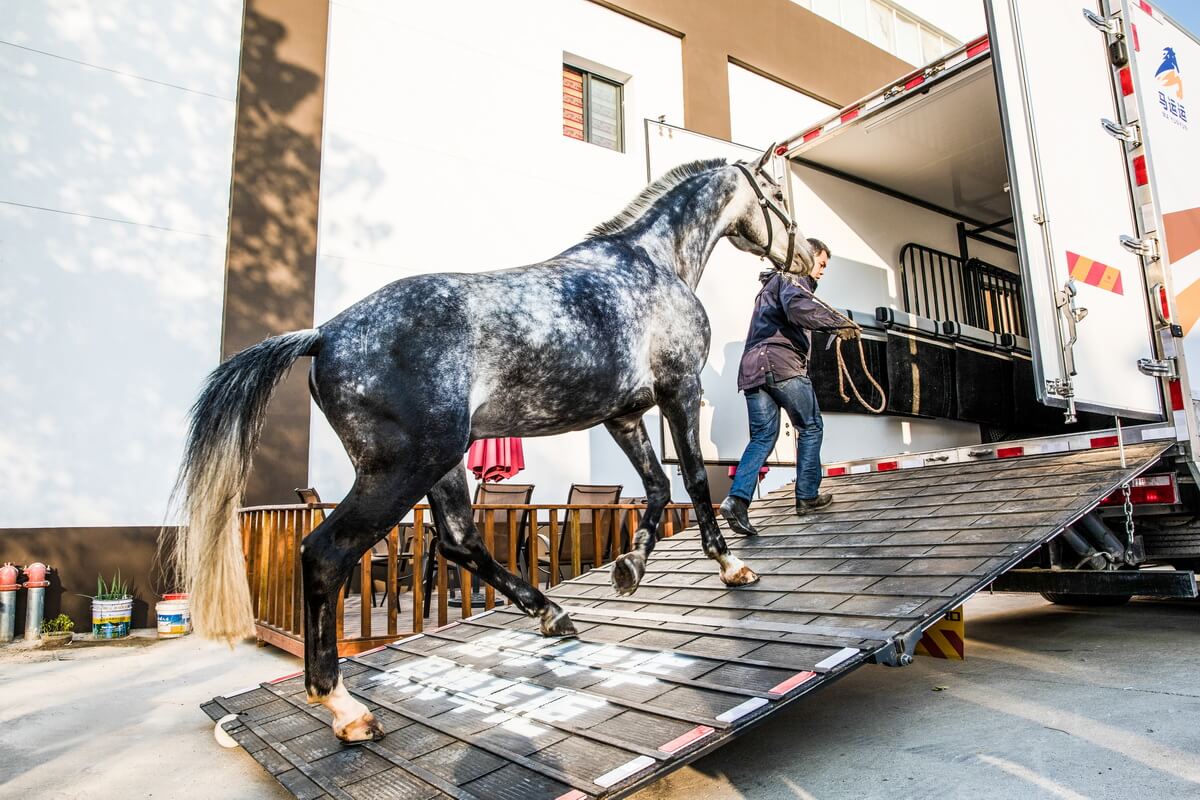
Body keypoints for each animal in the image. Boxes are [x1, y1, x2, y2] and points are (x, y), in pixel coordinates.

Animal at [171, 149, 816, 743]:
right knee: (326, 554)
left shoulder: (624, 414)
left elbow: (656, 487)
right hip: (405, 468)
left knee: (459, 541)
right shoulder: (680, 389)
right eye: (778, 198)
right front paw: (731, 565)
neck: (653, 263)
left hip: (442, 465)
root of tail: (323, 335)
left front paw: (629, 567)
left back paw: (552, 612)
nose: (810, 256)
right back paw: (346, 710)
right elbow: (695, 479)